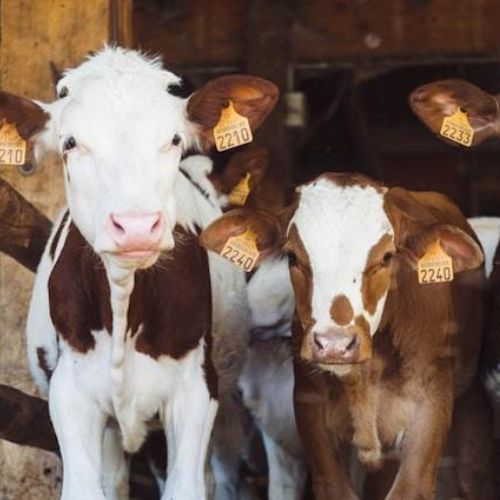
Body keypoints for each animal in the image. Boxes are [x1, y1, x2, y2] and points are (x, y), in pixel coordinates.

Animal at [0, 47, 278, 500]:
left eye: (175, 139)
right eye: (70, 142)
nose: (135, 226)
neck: (123, 299)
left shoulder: (195, 391)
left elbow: (186, 487)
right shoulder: (70, 392)